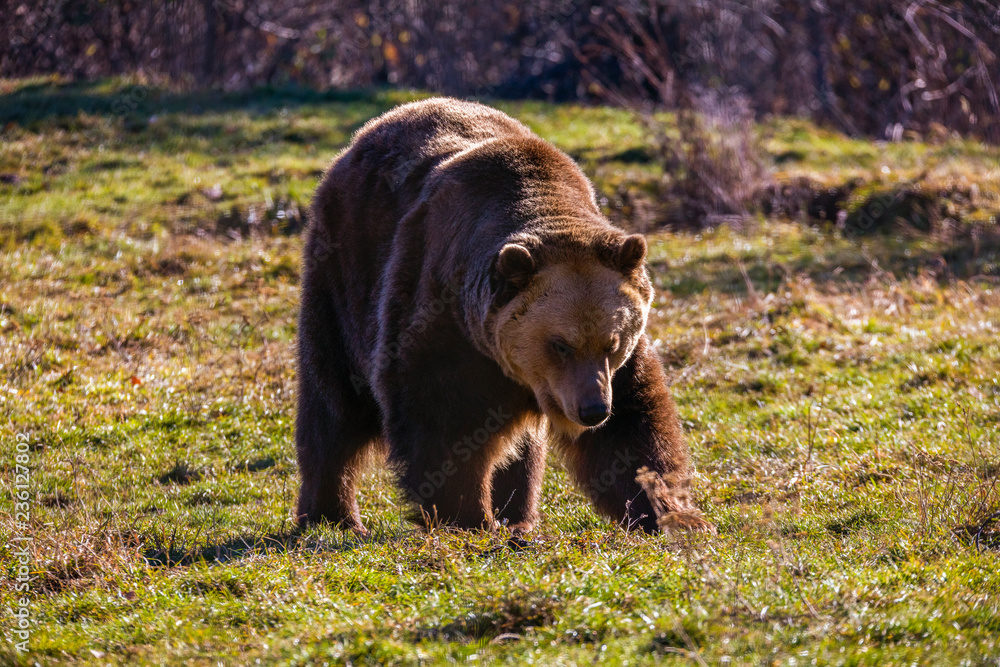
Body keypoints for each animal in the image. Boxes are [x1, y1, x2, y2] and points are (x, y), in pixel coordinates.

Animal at [296, 97, 710, 534]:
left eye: (612, 342)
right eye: (559, 344)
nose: (592, 410)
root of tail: (374, 127)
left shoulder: (615, 365)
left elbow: (633, 427)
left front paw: (673, 514)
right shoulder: (444, 318)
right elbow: (440, 420)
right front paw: (468, 516)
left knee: (524, 448)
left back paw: (520, 518)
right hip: (344, 281)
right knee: (333, 405)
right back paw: (332, 515)